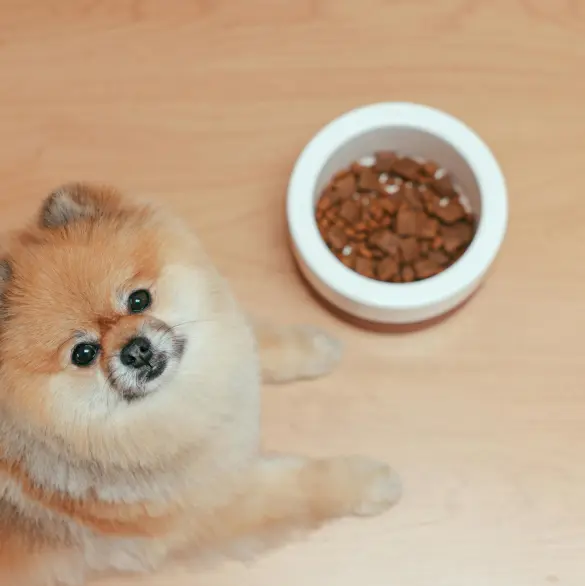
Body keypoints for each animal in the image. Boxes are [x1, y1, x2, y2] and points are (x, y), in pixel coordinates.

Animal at [0, 180, 400, 580]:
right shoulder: (218, 508)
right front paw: (371, 482)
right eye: (83, 353)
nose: (136, 350)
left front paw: (314, 348)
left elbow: (257, 341)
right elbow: (304, 485)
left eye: (139, 300)